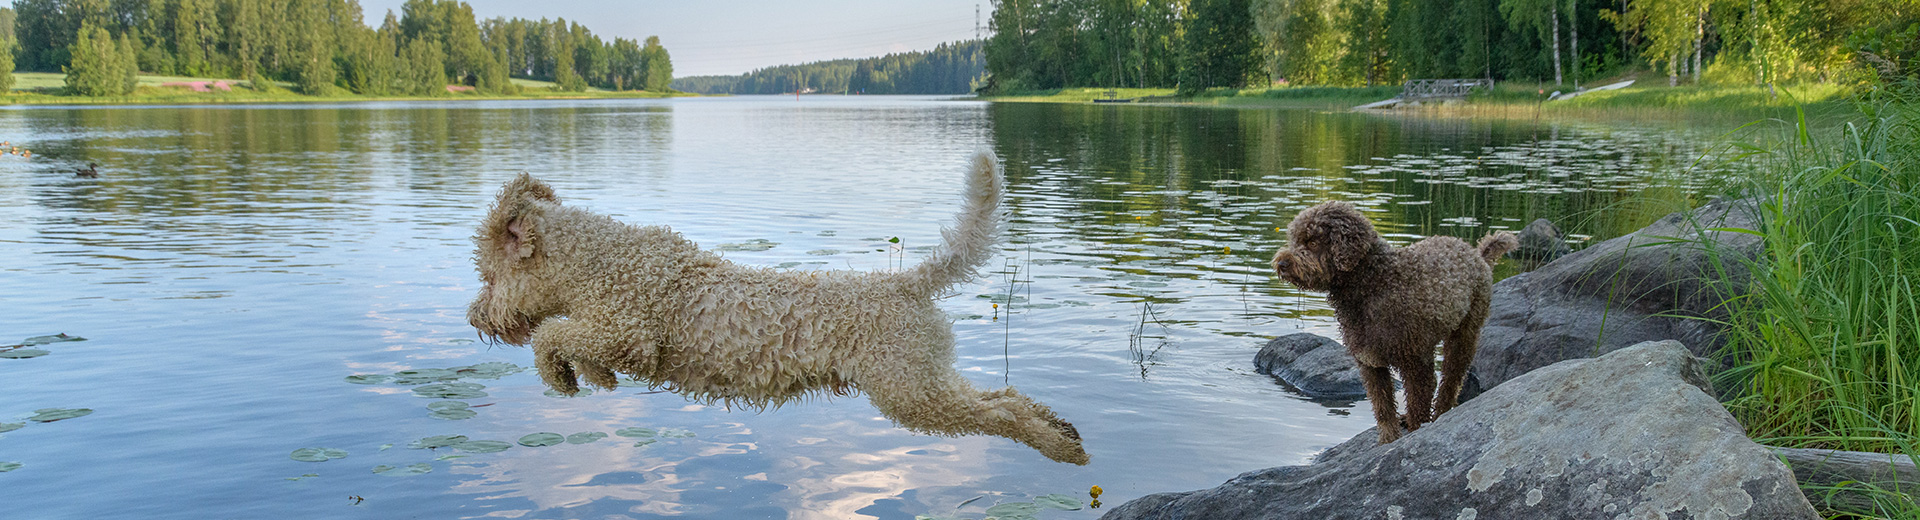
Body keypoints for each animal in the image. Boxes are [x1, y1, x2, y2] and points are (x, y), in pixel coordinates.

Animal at [464, 152, 1090, 466]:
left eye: (488, 275)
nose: (474, 317)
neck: (600, 263)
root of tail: (907, 283)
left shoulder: (630, 332)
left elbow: (551, 336)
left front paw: (563, 377)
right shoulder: (612, 333)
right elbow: (569, 337)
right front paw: (592, 376)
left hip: (911, 392)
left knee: (1000, 415)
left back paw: (1061, 448)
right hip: (927, 379)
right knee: (1005, 397)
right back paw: (1063, 429)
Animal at [1274, 201, 1512, 447]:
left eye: (1312, 242)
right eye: (1294, 240)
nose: (1281, 263)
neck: (1375, 284)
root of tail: (1477, 254)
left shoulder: (1416, 361)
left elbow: (1418, 403)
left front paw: (1414, 433)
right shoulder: (1370, 362)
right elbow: (1383, 406)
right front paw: (1388, 438)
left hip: (1464, 334)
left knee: (1452, 380)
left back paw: (1441, 412)